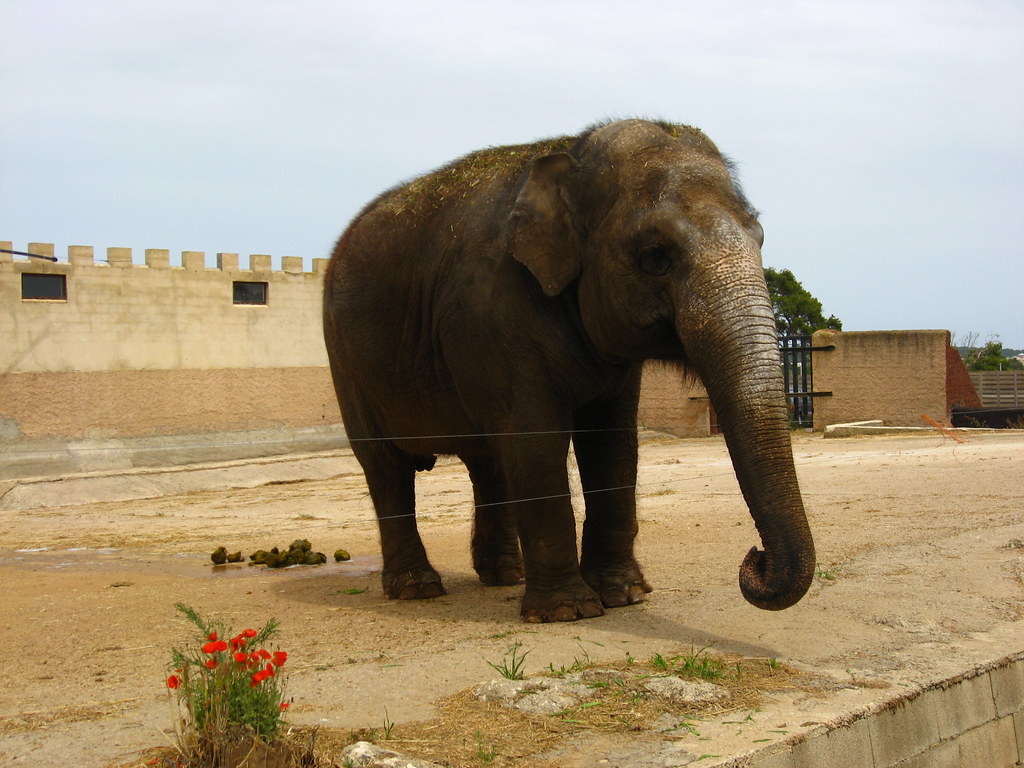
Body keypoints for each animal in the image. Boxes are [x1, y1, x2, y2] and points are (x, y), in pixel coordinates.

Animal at [323, 119, 815, 622]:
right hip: (347, 361)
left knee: (488, 461)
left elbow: (612, 444)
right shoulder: (489, 309)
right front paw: (568, 611)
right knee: (386, 467)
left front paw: (625, 596)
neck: (570, 154)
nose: (754, 559)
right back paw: (418, 589)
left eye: (759, 237)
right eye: (656, 254)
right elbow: (536, 439)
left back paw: (505, 575)